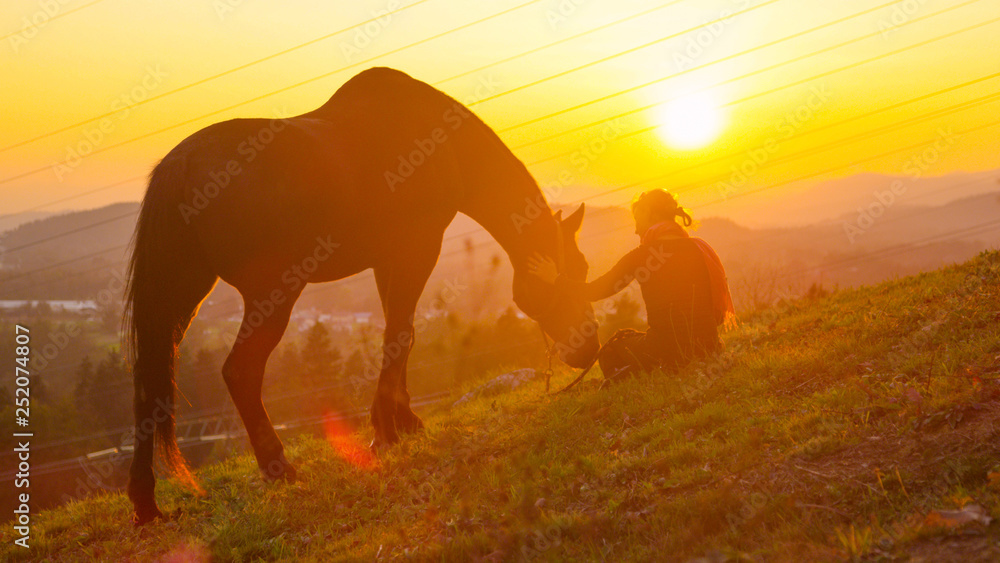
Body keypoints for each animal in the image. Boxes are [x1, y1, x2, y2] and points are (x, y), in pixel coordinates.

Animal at [121, 68, 596, 528]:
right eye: (578, 271)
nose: (588, 346)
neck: (444, 143)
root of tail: (181, 166)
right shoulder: (419, 248)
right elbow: (400, 334)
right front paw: (386, 431)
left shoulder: (389, 260)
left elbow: (400, 333)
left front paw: (401, 423)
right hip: (271, 292)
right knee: (240, 371)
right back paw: (279, 469)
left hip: (180, 295)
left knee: (150, 380)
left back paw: (146, 503)